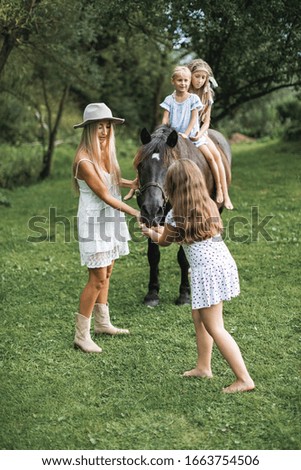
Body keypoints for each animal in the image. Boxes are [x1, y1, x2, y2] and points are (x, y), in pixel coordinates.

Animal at [132, 125, 231, 306]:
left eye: (170, 167)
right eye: (141, 165)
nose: (151, 208)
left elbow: (183, 257)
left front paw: (184, 293)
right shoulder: (152, 222)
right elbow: (153, 255)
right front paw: (152, 293)